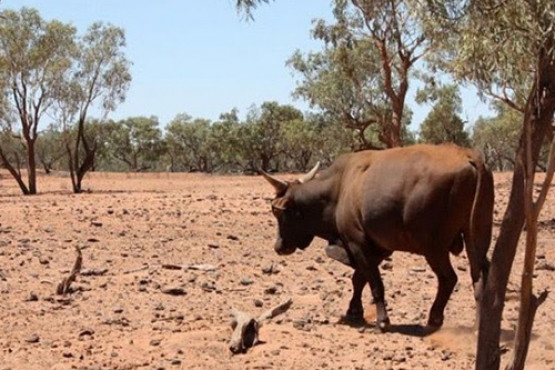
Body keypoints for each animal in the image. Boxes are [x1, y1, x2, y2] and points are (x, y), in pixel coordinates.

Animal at [262, 143, 494, 330]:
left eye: (279, 213)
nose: (278, 247)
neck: (338, 187)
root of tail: (468, 155)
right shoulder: (377, 247)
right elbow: (359, 278)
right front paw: (354, 310)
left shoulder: (357, 242)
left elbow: (374, 283)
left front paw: (382, 320)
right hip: (475, 239)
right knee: (481, 276)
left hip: (434, 248)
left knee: (448, 278)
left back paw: (434, 319)